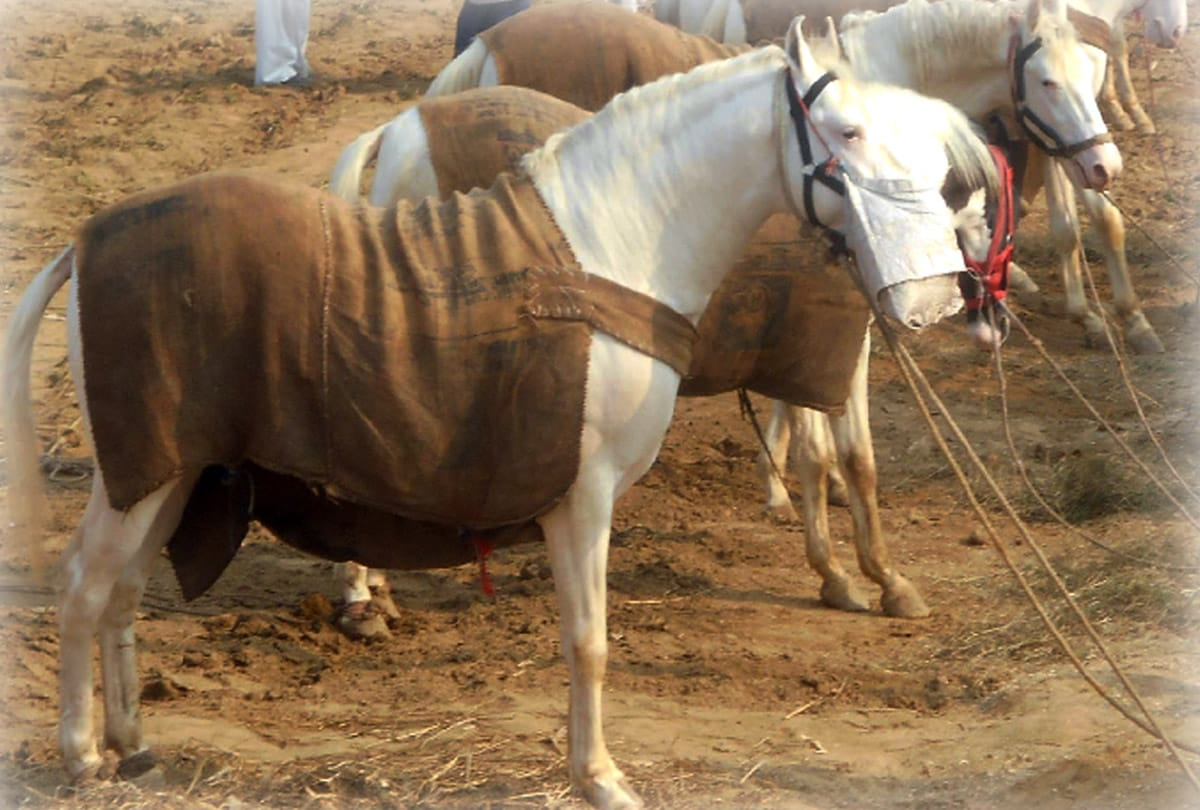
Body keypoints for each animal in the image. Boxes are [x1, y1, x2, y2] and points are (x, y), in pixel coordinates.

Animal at [3, 29, 998, 808]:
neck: (611, 244)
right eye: (846, 132)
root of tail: (83, 246)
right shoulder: (584, 498)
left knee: (123, 591)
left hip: (171, 473)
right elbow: (589, 642)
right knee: (84, 587)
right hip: (144, 476)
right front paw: (599, 776)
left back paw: (135, 744)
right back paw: (82, 753)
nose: (937, 298)